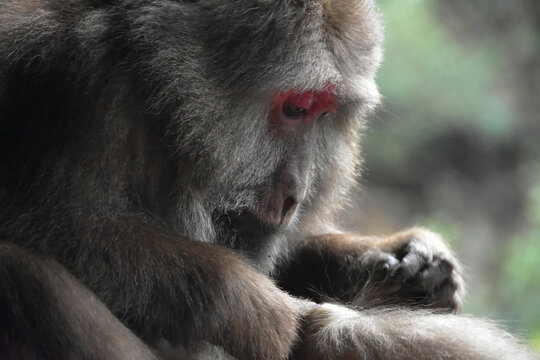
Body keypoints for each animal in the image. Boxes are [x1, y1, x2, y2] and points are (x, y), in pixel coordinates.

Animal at [0, 0, 536, 358]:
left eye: (324, 113)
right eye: (295, 109)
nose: (297, 192)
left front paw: (407, 261)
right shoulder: (81, 92)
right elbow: (60, 231)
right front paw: (254, 308)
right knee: (26, 274)